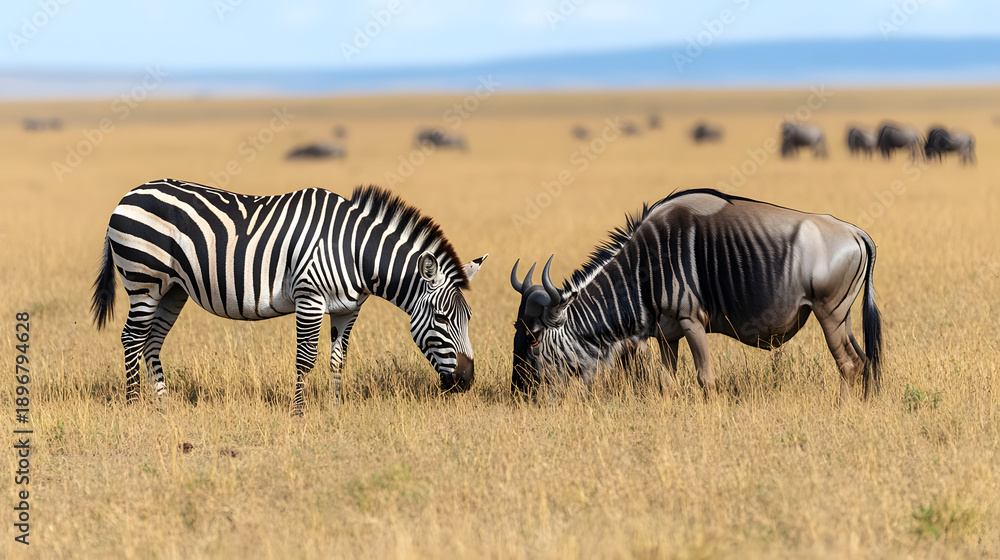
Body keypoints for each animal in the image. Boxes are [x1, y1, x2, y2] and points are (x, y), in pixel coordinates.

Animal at [91, 178, 487, 414]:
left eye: (468, 319)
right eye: (442, 318)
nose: (467, 381)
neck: (356, 251)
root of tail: (129, 194)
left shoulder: (347, 310)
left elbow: (337, 359)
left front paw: (335, 408)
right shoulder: (309, 298)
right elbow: (305, 359)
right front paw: (299, 412)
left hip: (172, 290)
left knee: (151, 341)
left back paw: (163, 403)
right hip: (144, 280)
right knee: (131, 337)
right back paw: (133, 404)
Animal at [510, 189, 883, 405]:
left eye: (534, 339)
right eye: (517, 331)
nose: (519, 393)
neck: (644, 270)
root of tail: (855, 232)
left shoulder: (693, 323)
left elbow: (705, 378)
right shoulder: (666, 334)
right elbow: (667, 382)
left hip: (829, 314)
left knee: (848, 363)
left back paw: (843, 410)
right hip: (843, 317)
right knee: (864, 359)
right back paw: (864, 406)